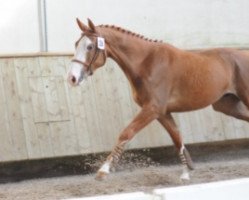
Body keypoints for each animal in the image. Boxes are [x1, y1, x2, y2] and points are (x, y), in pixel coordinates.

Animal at [67, 19, 249, 181]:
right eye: (76, 44)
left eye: (90, 46)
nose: (72, 78)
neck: (146, 63)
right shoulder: (162, 113)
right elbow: (177, 139)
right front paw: (186, 173)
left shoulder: (152, 109)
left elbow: (126, 133)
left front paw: (103, 171)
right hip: (227, 106)